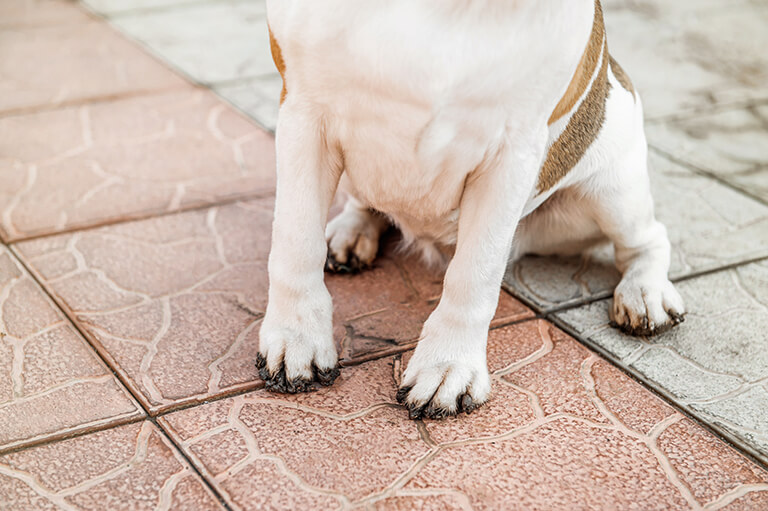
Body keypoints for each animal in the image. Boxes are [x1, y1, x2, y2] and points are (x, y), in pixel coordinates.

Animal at [256, 0, 684, 420]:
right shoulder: (303, 114)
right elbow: (296, 243)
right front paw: (297, 336)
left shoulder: (511, 155)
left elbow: (474, 274)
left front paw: (448, 364)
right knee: (366, 202)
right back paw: (353, 228)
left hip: (612, 190)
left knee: (649, 239)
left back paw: (644, 291)